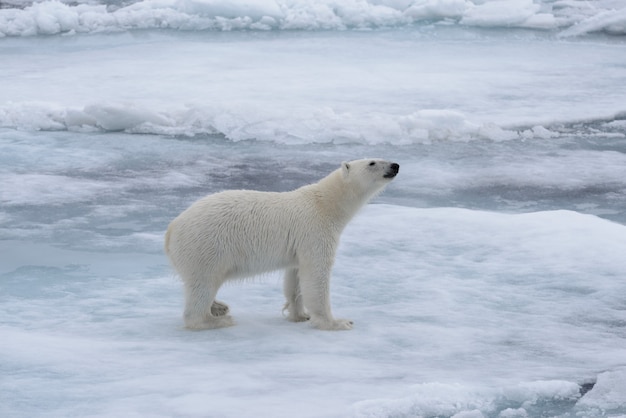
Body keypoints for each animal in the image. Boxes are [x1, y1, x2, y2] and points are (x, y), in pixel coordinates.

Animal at [163, 158, 398, 332]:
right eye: (372, 162)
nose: (395, 165)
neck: (325, 204)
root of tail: (171, 230)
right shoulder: (315, 231)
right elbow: (316, 275)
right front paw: (337, 322)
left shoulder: (298, 244)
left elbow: (294, 277)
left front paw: (299, 314)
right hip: (206, 247)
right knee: (203, 284)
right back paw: (216, 319)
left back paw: (219, 306)